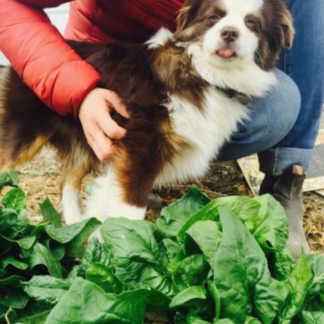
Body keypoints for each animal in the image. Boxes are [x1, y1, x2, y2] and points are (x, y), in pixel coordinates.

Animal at [0, 0, 294, 225]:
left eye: (252, 23)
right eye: (214, 17)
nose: (230, 33)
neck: (203, 74)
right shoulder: (138, 147)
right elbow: (128, 212)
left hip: (85, 138)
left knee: (68, 181)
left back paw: (74, 227)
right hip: (23, 136)